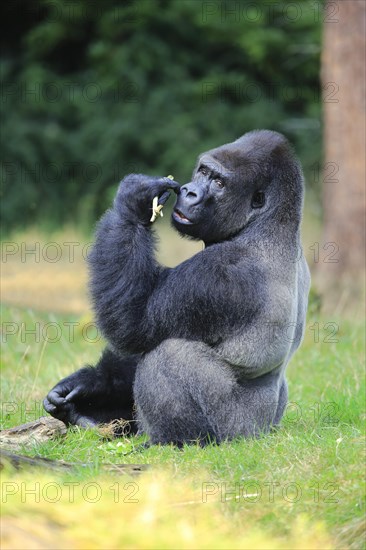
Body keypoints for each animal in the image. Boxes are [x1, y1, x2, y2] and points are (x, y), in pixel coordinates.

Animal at [44, 130, 310, 448]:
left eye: (219, 183)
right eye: (203, 172)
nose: (189, 191)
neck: (268, 225)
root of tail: (267, 431)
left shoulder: (220, 272)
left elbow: (136, 324)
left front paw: (134, 202)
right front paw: (91, 383)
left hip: (239, 434)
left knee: (168, 356)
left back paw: (176, 441)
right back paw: (89, 419)